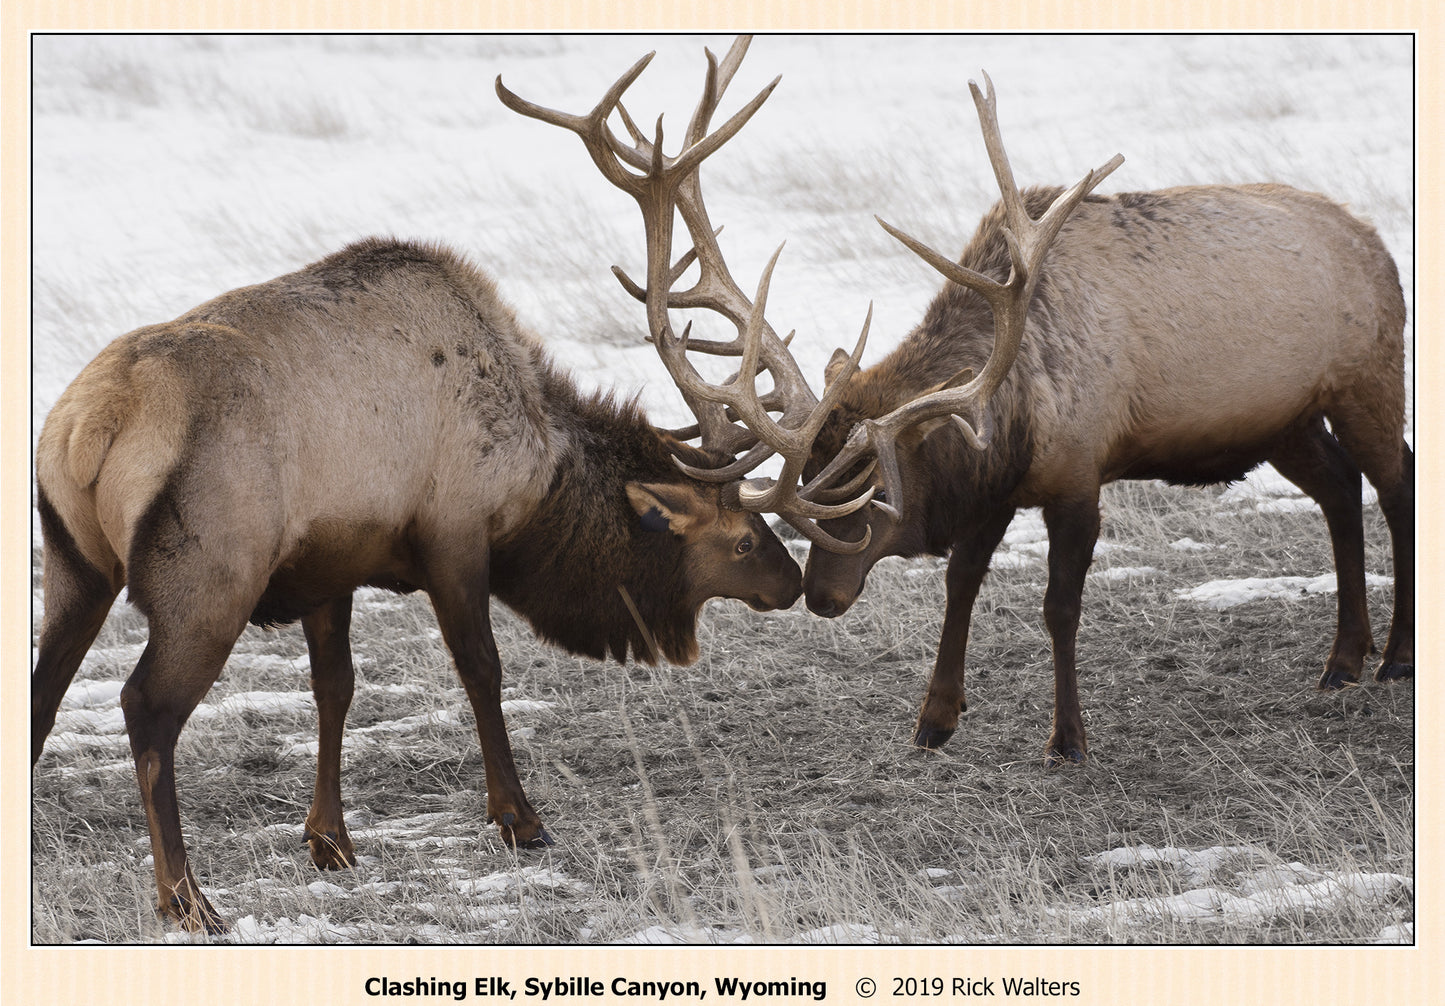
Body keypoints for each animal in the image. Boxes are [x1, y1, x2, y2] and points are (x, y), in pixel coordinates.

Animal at [32, 36, 903, 931]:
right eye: (739, 538)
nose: (793, 583)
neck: (538, 477)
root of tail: (88, 426)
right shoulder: (452, 532)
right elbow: (482, 669)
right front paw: (520, 819)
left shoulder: (331, 563)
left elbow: (335, 689)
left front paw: (330, 839)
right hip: (207, 576)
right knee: (145, 708)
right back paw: (185, 897)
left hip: (74, 563)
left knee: (42, 696)